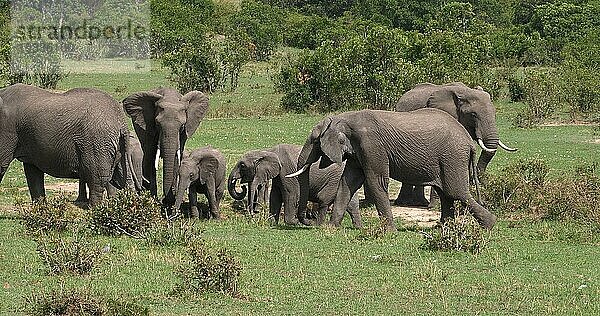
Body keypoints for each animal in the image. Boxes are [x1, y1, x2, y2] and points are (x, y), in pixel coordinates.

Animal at [0, 83, 136, 205]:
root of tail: (122, 123)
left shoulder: (7, 128)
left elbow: (2, 163)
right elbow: (33, 171)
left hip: (97, 142)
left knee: (97, 178)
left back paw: (94, 209)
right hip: (116, 146)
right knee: (120, 177)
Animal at [229, 143, 360, 227]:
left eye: (242, 165)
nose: (252, 215)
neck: (268, 150)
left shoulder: (286, 171)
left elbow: (290, 194)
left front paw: (293, 223)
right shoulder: (279, 175)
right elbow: (275, 196)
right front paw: (272, 223)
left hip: (334, 179)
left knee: (324, 199)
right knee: (351, 203)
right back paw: (357, 227)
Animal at [290, 109, 496, 232]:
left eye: (315, 141)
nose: (310, 222)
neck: (345, 118)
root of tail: (469, 141)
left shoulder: (372, 146)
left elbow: (376, 182)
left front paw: (389, 231)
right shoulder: (357, 151)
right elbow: (347, 183)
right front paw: (332, 228)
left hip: (452, 156)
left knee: (456, 192)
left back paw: (489, 225)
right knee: (446, 193)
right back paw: (443, 228)